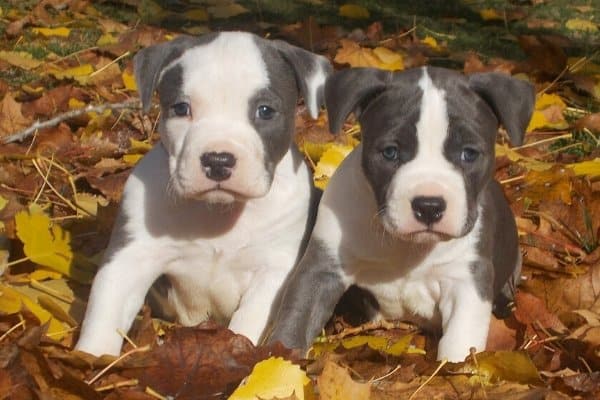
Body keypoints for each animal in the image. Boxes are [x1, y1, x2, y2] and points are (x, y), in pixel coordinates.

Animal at [74, 31, 332, 356]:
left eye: (265, 111)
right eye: (181, 108)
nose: (218, 160)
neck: (218, 212)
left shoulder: (274, 269)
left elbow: (249, 321)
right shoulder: (131, 258)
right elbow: (105, 311)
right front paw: (89, 358)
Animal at [268, 66, 536, 362]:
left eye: (469, 153)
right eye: (390, 152)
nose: (429, 205)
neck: (408, 248)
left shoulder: (466, 280)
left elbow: (459, 343)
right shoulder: (322, 268)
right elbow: (296, 317)